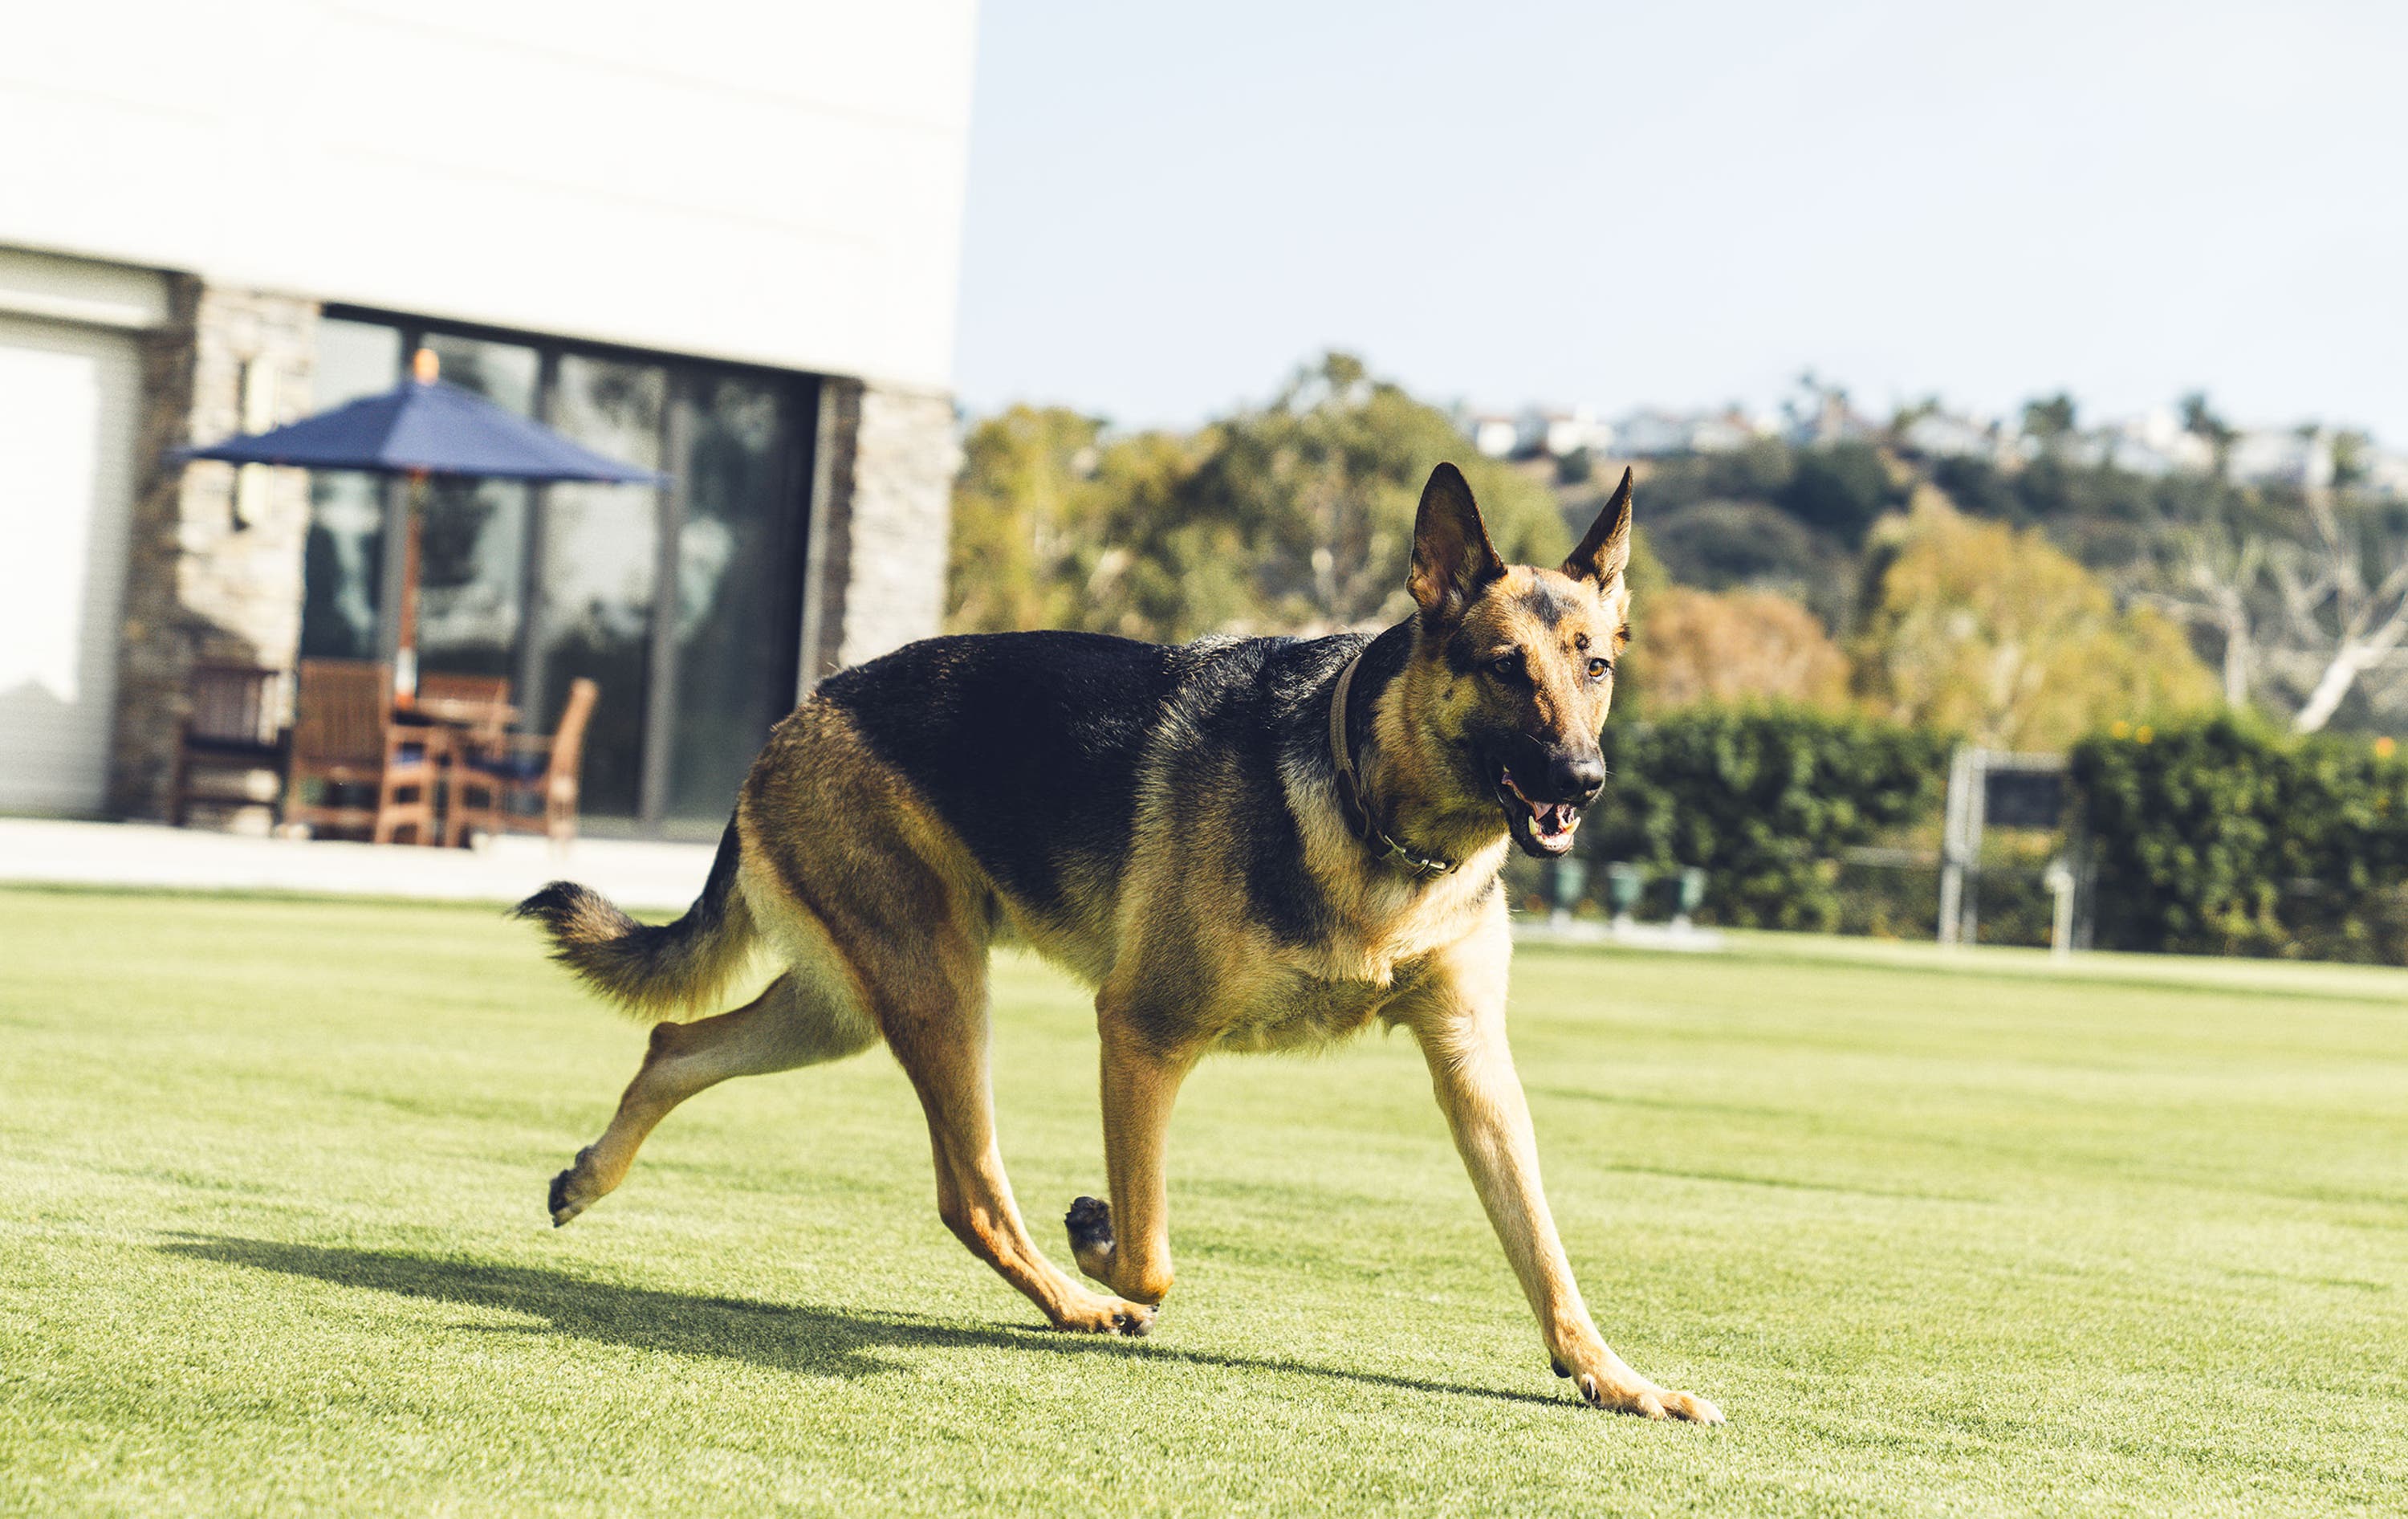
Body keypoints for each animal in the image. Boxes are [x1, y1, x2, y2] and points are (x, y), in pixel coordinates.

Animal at [525, 464, 1724, 1425]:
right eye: (1504, 665)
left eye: (1594, 667)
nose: (1583, 782)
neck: (1377, 812)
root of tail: (804, 708)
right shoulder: (1142, 1035)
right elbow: (1154, 1252)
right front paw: (1100, 1235)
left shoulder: (1475, 1067)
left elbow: (1546, 1250)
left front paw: (1614, 1377)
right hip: (938, 997)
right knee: (972, 1196)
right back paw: (1078, 1300)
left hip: (851, 1006)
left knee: (676, 1043)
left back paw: (590, 1178)